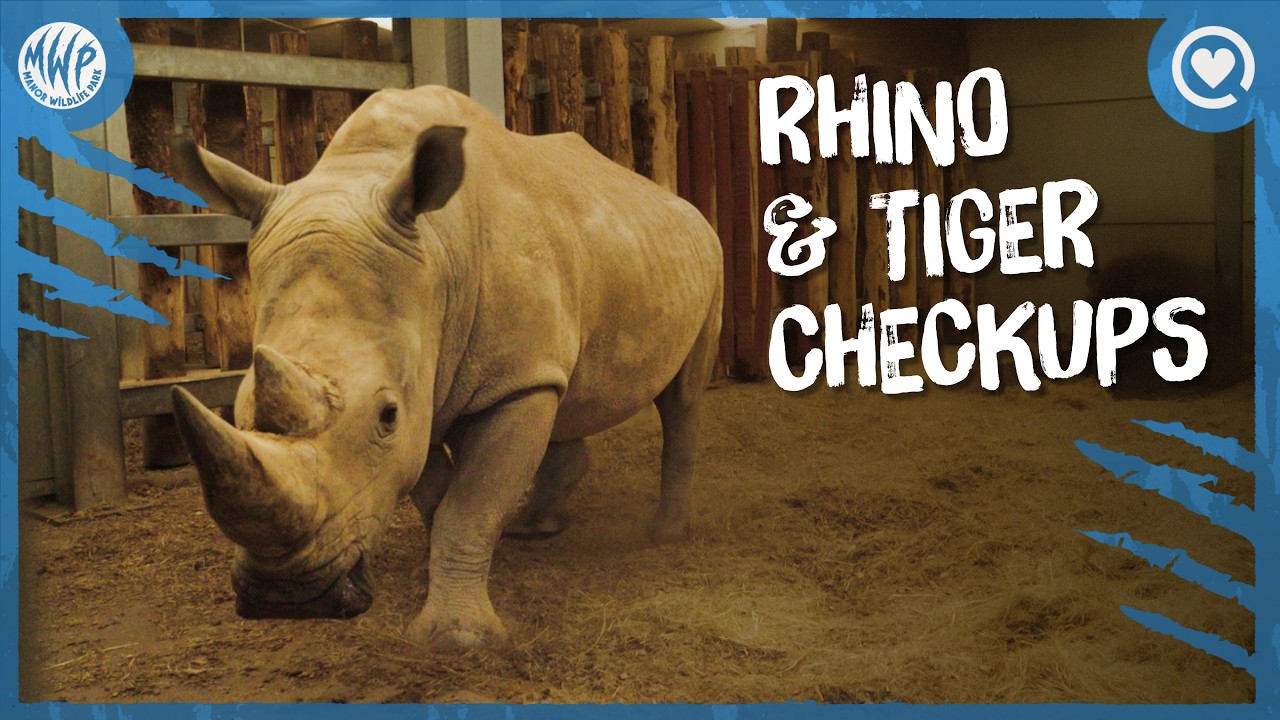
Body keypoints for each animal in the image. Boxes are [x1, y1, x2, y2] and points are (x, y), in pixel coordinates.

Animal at [167, 86, 722, 651]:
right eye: (241, 408)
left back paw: (665, 534)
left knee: (683, 395)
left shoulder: (511, 382)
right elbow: (437, 493)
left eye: (386, 415)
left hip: (708, 254)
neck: (436, 248)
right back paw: (536, 527)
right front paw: (448, 568)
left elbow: (469, 502)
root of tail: (675, 198)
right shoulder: (436, 387)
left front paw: (458, 639)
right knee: (568, 394)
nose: (287, 596)